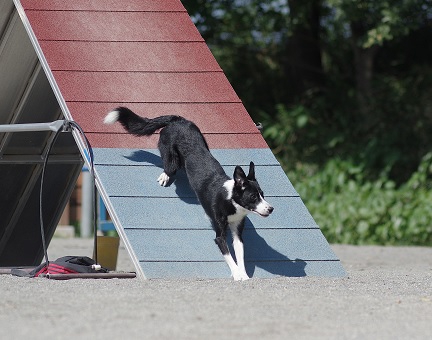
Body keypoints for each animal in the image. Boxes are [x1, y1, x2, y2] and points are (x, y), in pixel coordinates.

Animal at [104, 107, 274, 280]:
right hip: (171, 154)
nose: (271, 209)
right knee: (170, 166)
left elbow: (239, 255)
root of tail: (178, 119)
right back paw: (165, 176)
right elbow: (228, 255)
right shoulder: (219, 235)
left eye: (263, 194)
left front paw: (244, 275)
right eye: (253, 197)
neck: (230, 199)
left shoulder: (237, 230)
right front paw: (237, 275)